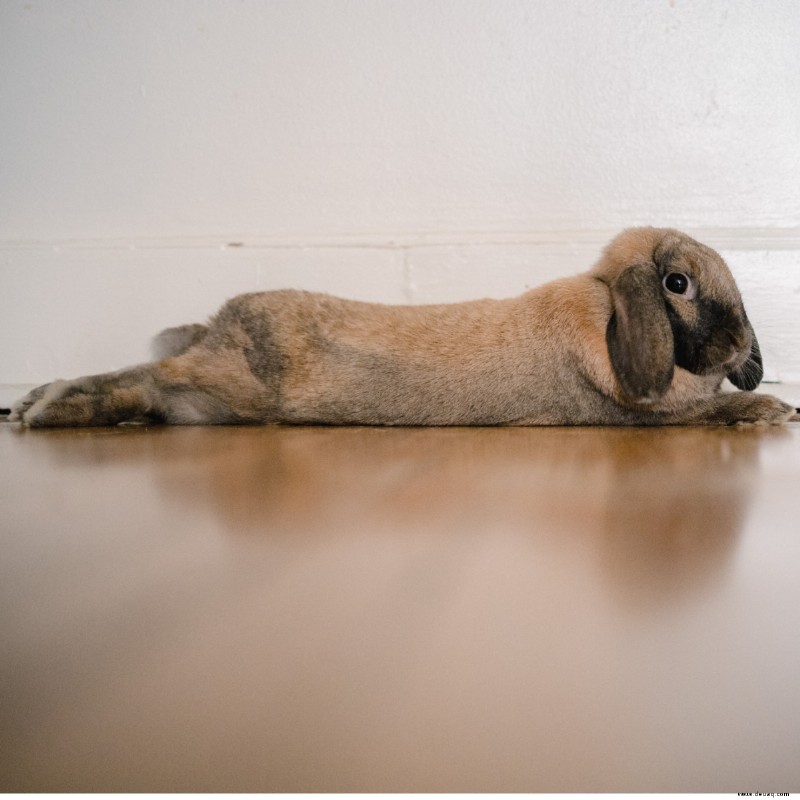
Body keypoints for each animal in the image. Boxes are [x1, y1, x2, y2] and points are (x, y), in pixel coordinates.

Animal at [9, 228, 796, 428]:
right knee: (142, 377)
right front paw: (771, 408)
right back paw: (45, 406)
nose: (738, 349)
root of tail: (216, 325)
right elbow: (707, 412)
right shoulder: (634, 417)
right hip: (232, 382)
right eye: (676, 284)